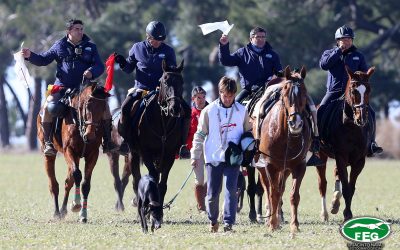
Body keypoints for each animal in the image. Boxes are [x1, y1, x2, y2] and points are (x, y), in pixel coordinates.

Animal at [36, 82, 110, 223]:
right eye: (88, 105)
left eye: (104, 107)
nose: (90, 135)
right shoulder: (68, 151)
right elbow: (77, 174)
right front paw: (76, 204)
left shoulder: (93, 155)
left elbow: (85, 184)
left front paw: (83, 214)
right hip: (49, 154)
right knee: (54, 184)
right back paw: (57, 212)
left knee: (68, 182)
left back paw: (63, 210)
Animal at [253, 65, 312, 233]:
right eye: (285, 93)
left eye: (304, 92)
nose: (295, 123)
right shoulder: (270, 165)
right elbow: (273, 193)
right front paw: (272, 224)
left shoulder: (299, 166)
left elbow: (294, 195)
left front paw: (295, 225)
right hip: (262, 166)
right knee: (268, 189)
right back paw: (270, 218)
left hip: (285, 169)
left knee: (281, 188)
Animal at [316, 66, 376, 221]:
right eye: (353, 90)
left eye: (368, 90)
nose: (361, 118)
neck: (352, 127)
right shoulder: (341, 156)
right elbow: (346, 186)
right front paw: (347, 214)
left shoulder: (359, 160)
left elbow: (350, 187)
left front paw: (346, 212)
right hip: (321, 156)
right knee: (322, 184)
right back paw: (325, 213)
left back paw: (335, 203)